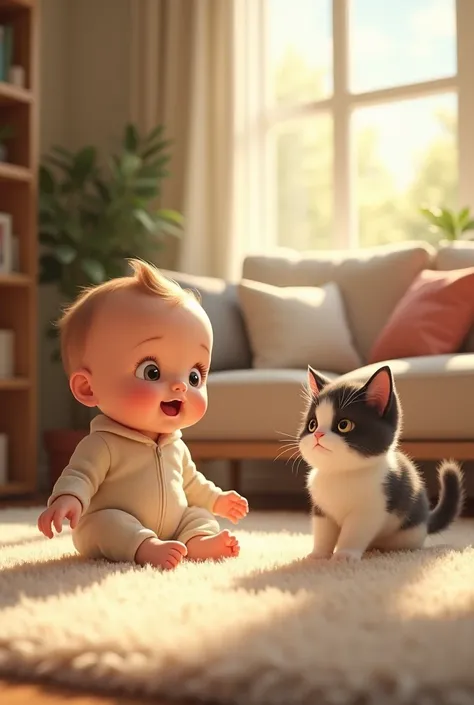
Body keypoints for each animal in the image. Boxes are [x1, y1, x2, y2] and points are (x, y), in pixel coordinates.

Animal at [298, 364, 464, 560]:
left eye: (344, 425)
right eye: (312, 425)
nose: (318, 434)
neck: (341, 473)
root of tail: (426, 521)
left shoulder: (372, 507)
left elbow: (353, 532)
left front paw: (344, 555)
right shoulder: (321, 508)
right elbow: (323, 531)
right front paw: (318, 555)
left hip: (408, 533)